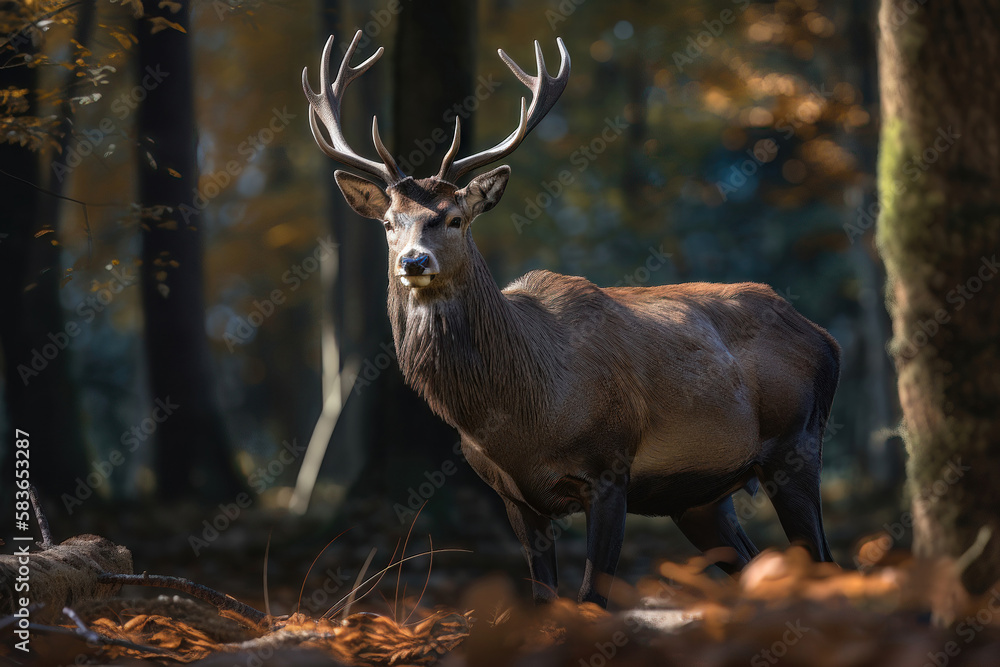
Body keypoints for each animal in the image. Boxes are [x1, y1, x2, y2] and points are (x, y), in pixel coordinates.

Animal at [303, 31, 840, 608]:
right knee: (756, 565)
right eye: (387, 222)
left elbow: (590, 600)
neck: (520, 415)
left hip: (796, 443)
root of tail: (826, 339)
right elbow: (544, 600)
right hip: (701, 496)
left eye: (454, 218)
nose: (413, 262)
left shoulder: (611, 469)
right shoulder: (513, 495)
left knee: (823, 560)